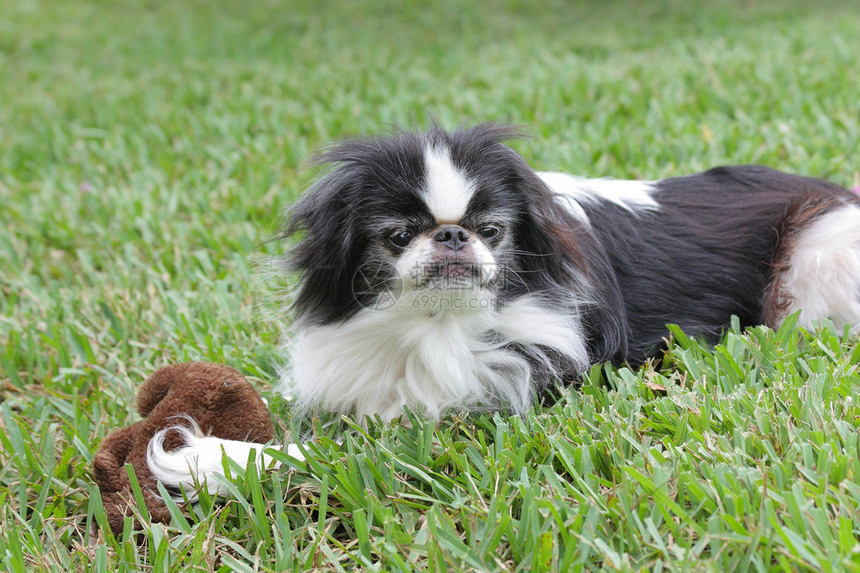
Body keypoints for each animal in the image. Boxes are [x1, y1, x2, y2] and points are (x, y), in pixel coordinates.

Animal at [148, 120, 860, 488]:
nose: (452, 235)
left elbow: (351, 450)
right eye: (399, 235)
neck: (433, 327)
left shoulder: (496, 402)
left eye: (491, 230)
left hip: (819, 258)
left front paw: (202, 456)